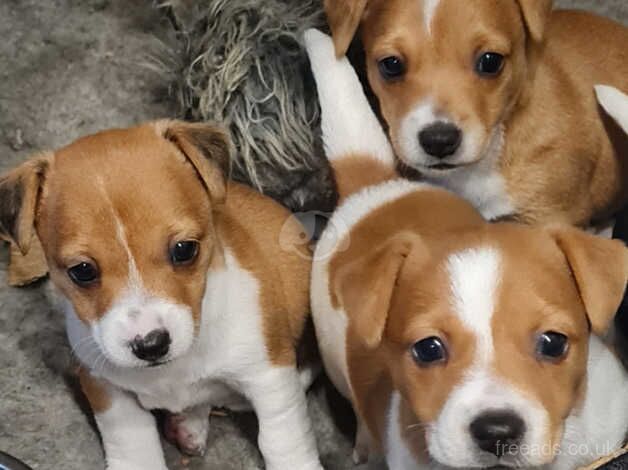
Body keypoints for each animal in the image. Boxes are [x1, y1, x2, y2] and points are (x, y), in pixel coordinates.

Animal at [0, 122, 324, 470]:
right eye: (82, 271)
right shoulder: (107, 389)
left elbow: (281, 442)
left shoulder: (270, 379)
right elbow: (135, 449)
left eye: (184, 249)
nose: (150, 344)